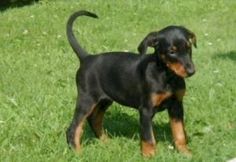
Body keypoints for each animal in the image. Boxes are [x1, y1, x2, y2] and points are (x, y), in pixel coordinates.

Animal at [65, 9, 196, 157]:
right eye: (172, 52)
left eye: (189, 47)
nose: (191, 71)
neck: (166, 75)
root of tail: (87, 58)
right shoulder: (145, 110)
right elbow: (148, 137)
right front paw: (149, 156)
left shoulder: (176, 106)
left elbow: (179, 132)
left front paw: (185, 152)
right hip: (87, 99)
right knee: (74, 127)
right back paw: (77, 152)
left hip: (104, 100)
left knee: (94, 120)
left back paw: (106, 142)